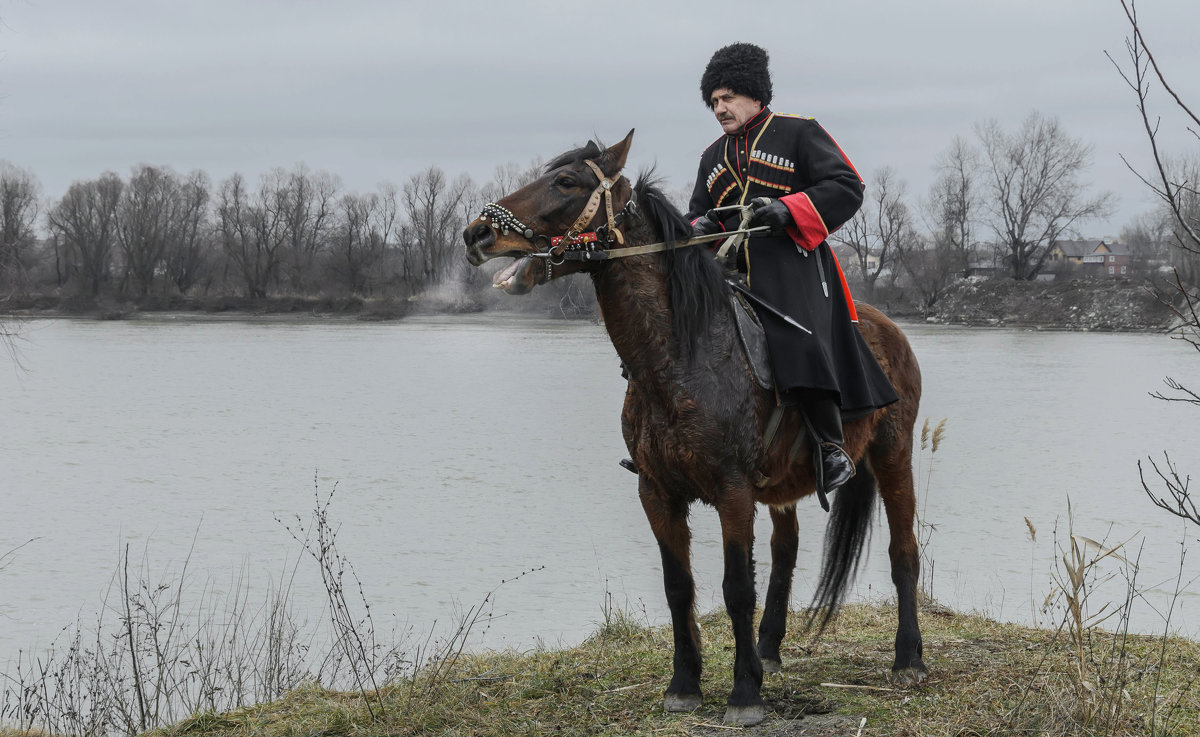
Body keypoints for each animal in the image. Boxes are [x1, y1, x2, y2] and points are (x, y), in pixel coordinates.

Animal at [460, 131, 926, 729]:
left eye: (566, 182)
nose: (477, 234)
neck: (678, 358)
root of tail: (887, 326)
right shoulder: (657, 492)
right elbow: (678, 586)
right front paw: (685, 684)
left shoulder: (732, 491)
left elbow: (736, 587)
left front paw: (744, 694)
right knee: (786, 552)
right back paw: (769, 650)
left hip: (894, 455)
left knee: (902, 550)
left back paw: (908, 659)